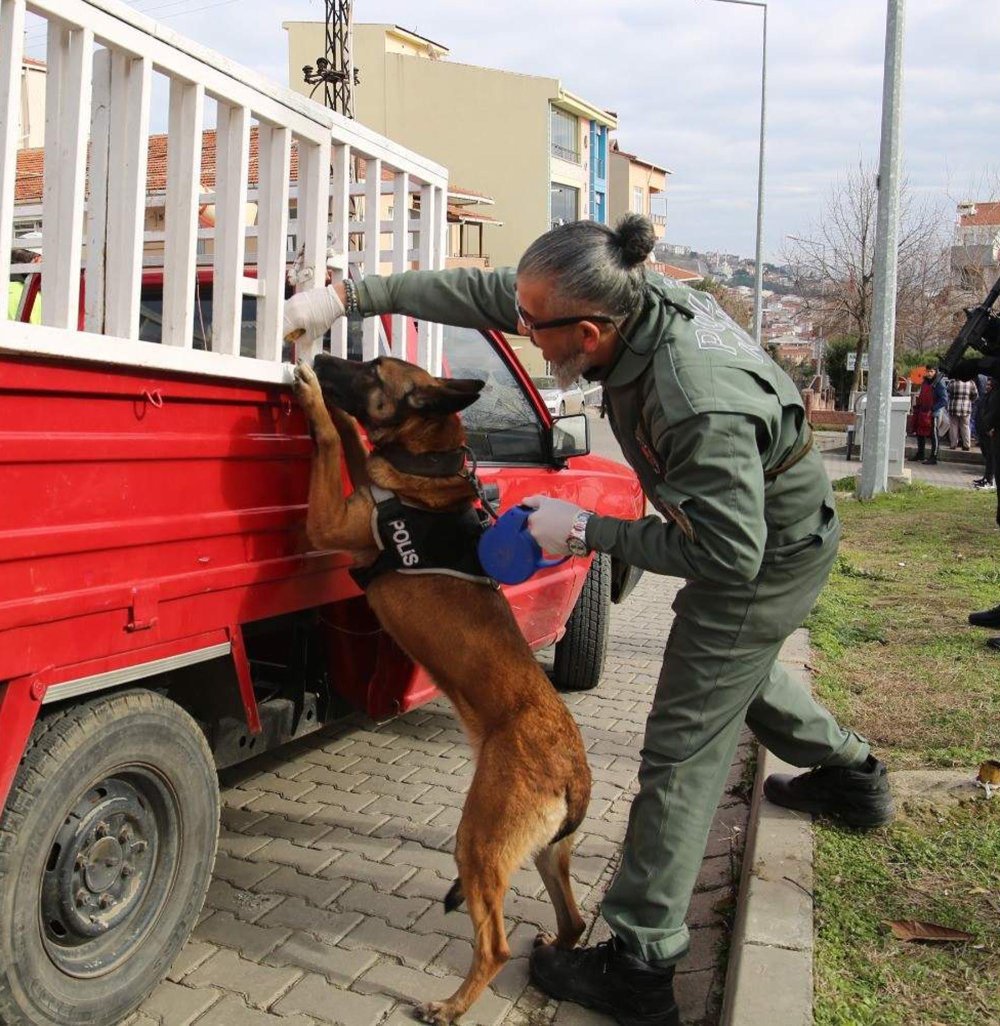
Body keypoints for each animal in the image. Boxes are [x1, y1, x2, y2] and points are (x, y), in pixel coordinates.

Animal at [295, 354, 594, 1026]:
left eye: (372, 371)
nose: (323, 357)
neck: (424, 465)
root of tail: (572, 767)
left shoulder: (326, 524)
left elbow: (330, 437)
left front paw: (316, 401)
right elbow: (354, 443)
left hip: (475, 843)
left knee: (496, 945)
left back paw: (452, 1005)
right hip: (544, 853)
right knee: (575, 921)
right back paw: (553, 951)